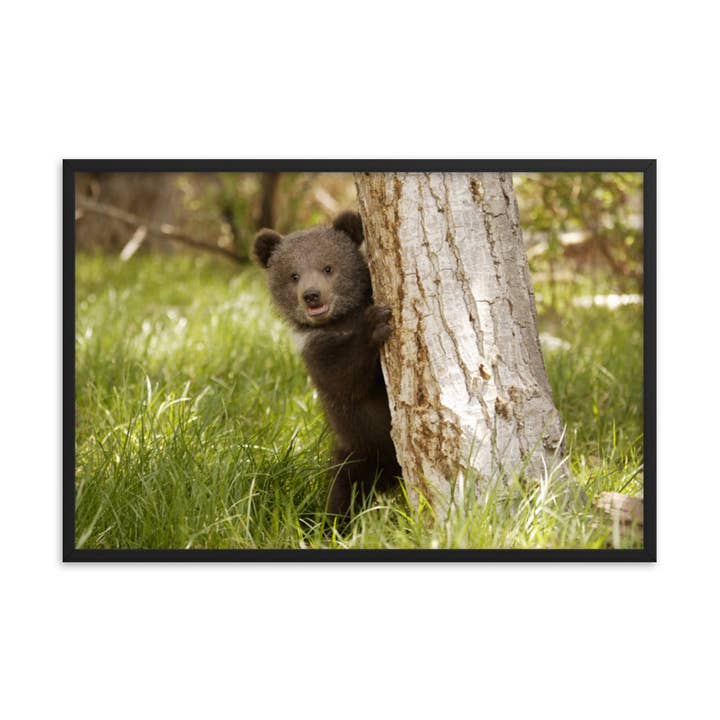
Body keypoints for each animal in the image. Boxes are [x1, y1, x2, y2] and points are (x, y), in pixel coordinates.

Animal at [253, 210, 400, 517]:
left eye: (328, 268)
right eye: (294, 275)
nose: (311, 295)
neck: (340, 321)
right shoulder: (316, 351)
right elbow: (345, 378)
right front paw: (375, 324)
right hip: (357, 451)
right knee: (344, 492)